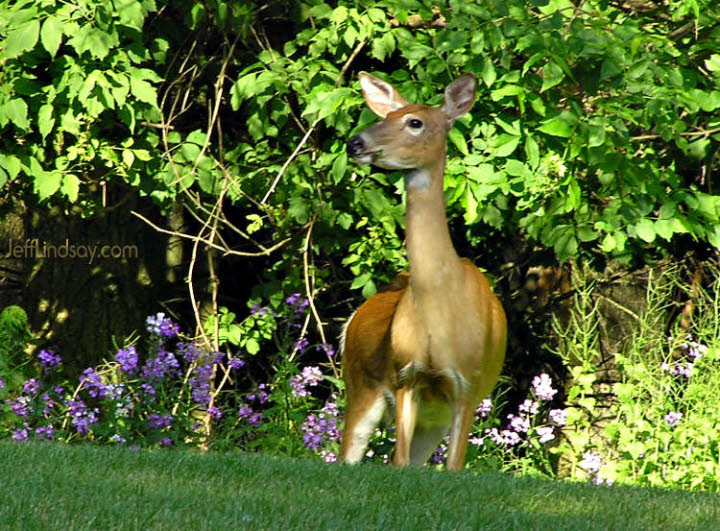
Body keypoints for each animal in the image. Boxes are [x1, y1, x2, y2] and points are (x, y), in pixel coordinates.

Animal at [340, 72, 510, 472]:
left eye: (414, 122)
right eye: (386, 115)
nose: (356, 142)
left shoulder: (467, 385)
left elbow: (453, 467)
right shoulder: (407, 376)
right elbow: (398, 461)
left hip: (433, 420)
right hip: (360, 384)